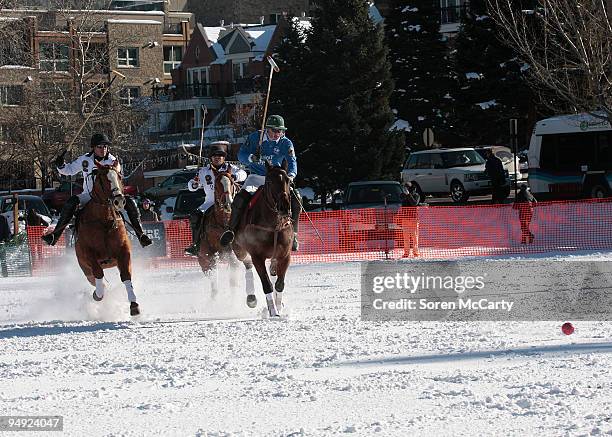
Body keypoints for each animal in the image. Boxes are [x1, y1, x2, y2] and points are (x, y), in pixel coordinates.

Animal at [74, 159, 140, 314]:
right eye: (103, 179)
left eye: (119, 177)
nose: (119, 201)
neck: (104, 220)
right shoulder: (89, 254)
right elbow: (98, 274)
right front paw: (98, 295)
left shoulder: (123, 251)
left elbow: (126, 275)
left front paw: (134, 304)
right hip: (84, 267)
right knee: (93, 278)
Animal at [232, 160, 294, 316]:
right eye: (269, 181)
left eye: (288, 180)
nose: (284, 207)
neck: (273, 225)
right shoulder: (257, 256)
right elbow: (267, 284)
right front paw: (273, 312)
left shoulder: (285, 255)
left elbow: (279, 284)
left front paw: (278, 308)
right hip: (239, 250)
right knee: (248, 265)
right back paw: (251, 298)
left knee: (272, 273)